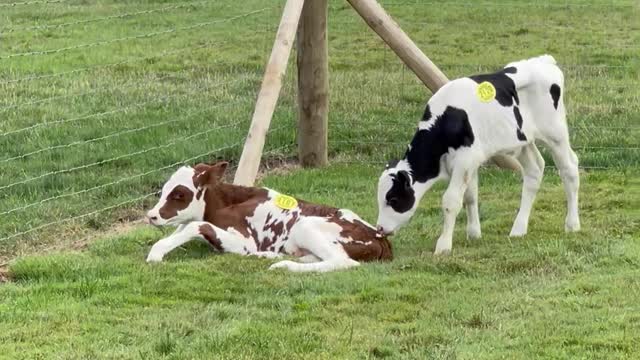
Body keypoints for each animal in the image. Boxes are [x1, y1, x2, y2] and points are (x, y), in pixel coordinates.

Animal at [145, 162, 392, 272]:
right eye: (162, 190)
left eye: (179, 194)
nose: (151, 216)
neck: (225, 203)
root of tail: (379, 236)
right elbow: (183, 229)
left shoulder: (246, 242)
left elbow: (195, 225)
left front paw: (156, 254)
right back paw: (268, 256)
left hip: (306, 226)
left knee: (342, 261)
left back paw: (283, 265)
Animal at [376, 54, 580, 256]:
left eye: (393, 199)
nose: (379, 228)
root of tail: (543, 61)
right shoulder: (470, 162)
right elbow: (470, 196)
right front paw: (474, 233)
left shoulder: (464, 160)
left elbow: (451, 201)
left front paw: (443, 246)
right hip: (522, 142)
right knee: (535, 171)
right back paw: (518, 229)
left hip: (556, 134)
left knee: (569, 169)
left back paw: (572, 225)